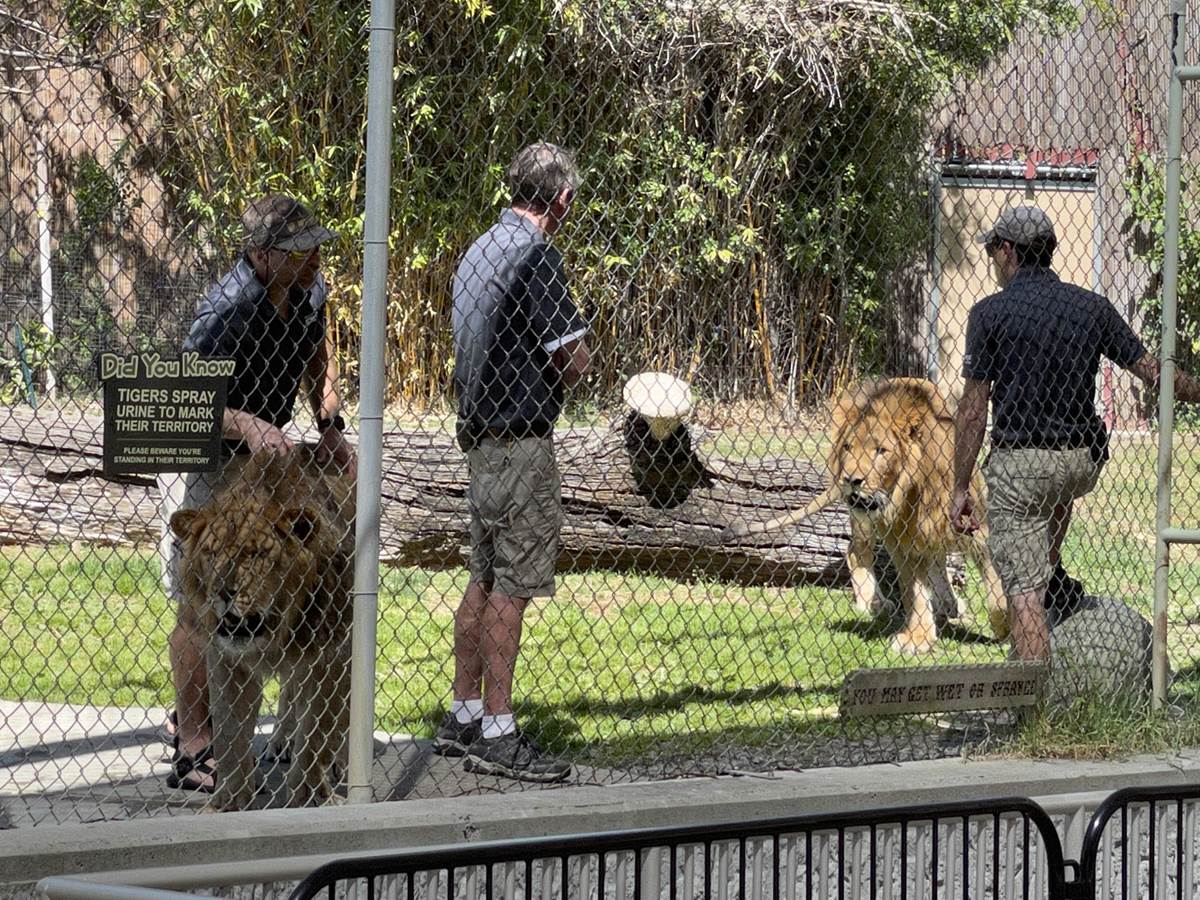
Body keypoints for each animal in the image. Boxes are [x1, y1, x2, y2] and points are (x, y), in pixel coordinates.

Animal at [729, 378, 1008, 655]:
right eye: (848, 447)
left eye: (881, 451)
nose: (851, 479)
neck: (914, 491)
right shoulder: (903, 543)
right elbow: (914, 593)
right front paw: (917, 639)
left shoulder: (977, 526)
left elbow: (996, 587)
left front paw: (1004, 626)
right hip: (865, 523)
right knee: (855, 550)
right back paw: (875, 603)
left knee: (937, 558)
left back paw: (948, 604)